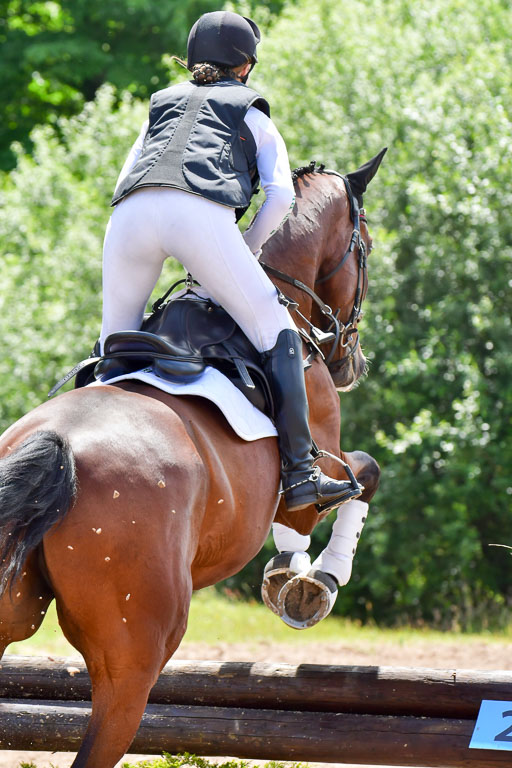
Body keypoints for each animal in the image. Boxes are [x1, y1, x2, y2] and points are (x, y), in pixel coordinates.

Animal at [0, 153, 384, 767]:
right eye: (366, 245)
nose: (351, 362)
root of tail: (57, 447)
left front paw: (290, 575)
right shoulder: (318, 469)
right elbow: (361, 477)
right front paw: (310, 582)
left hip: (12, 611)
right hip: (135, 654)